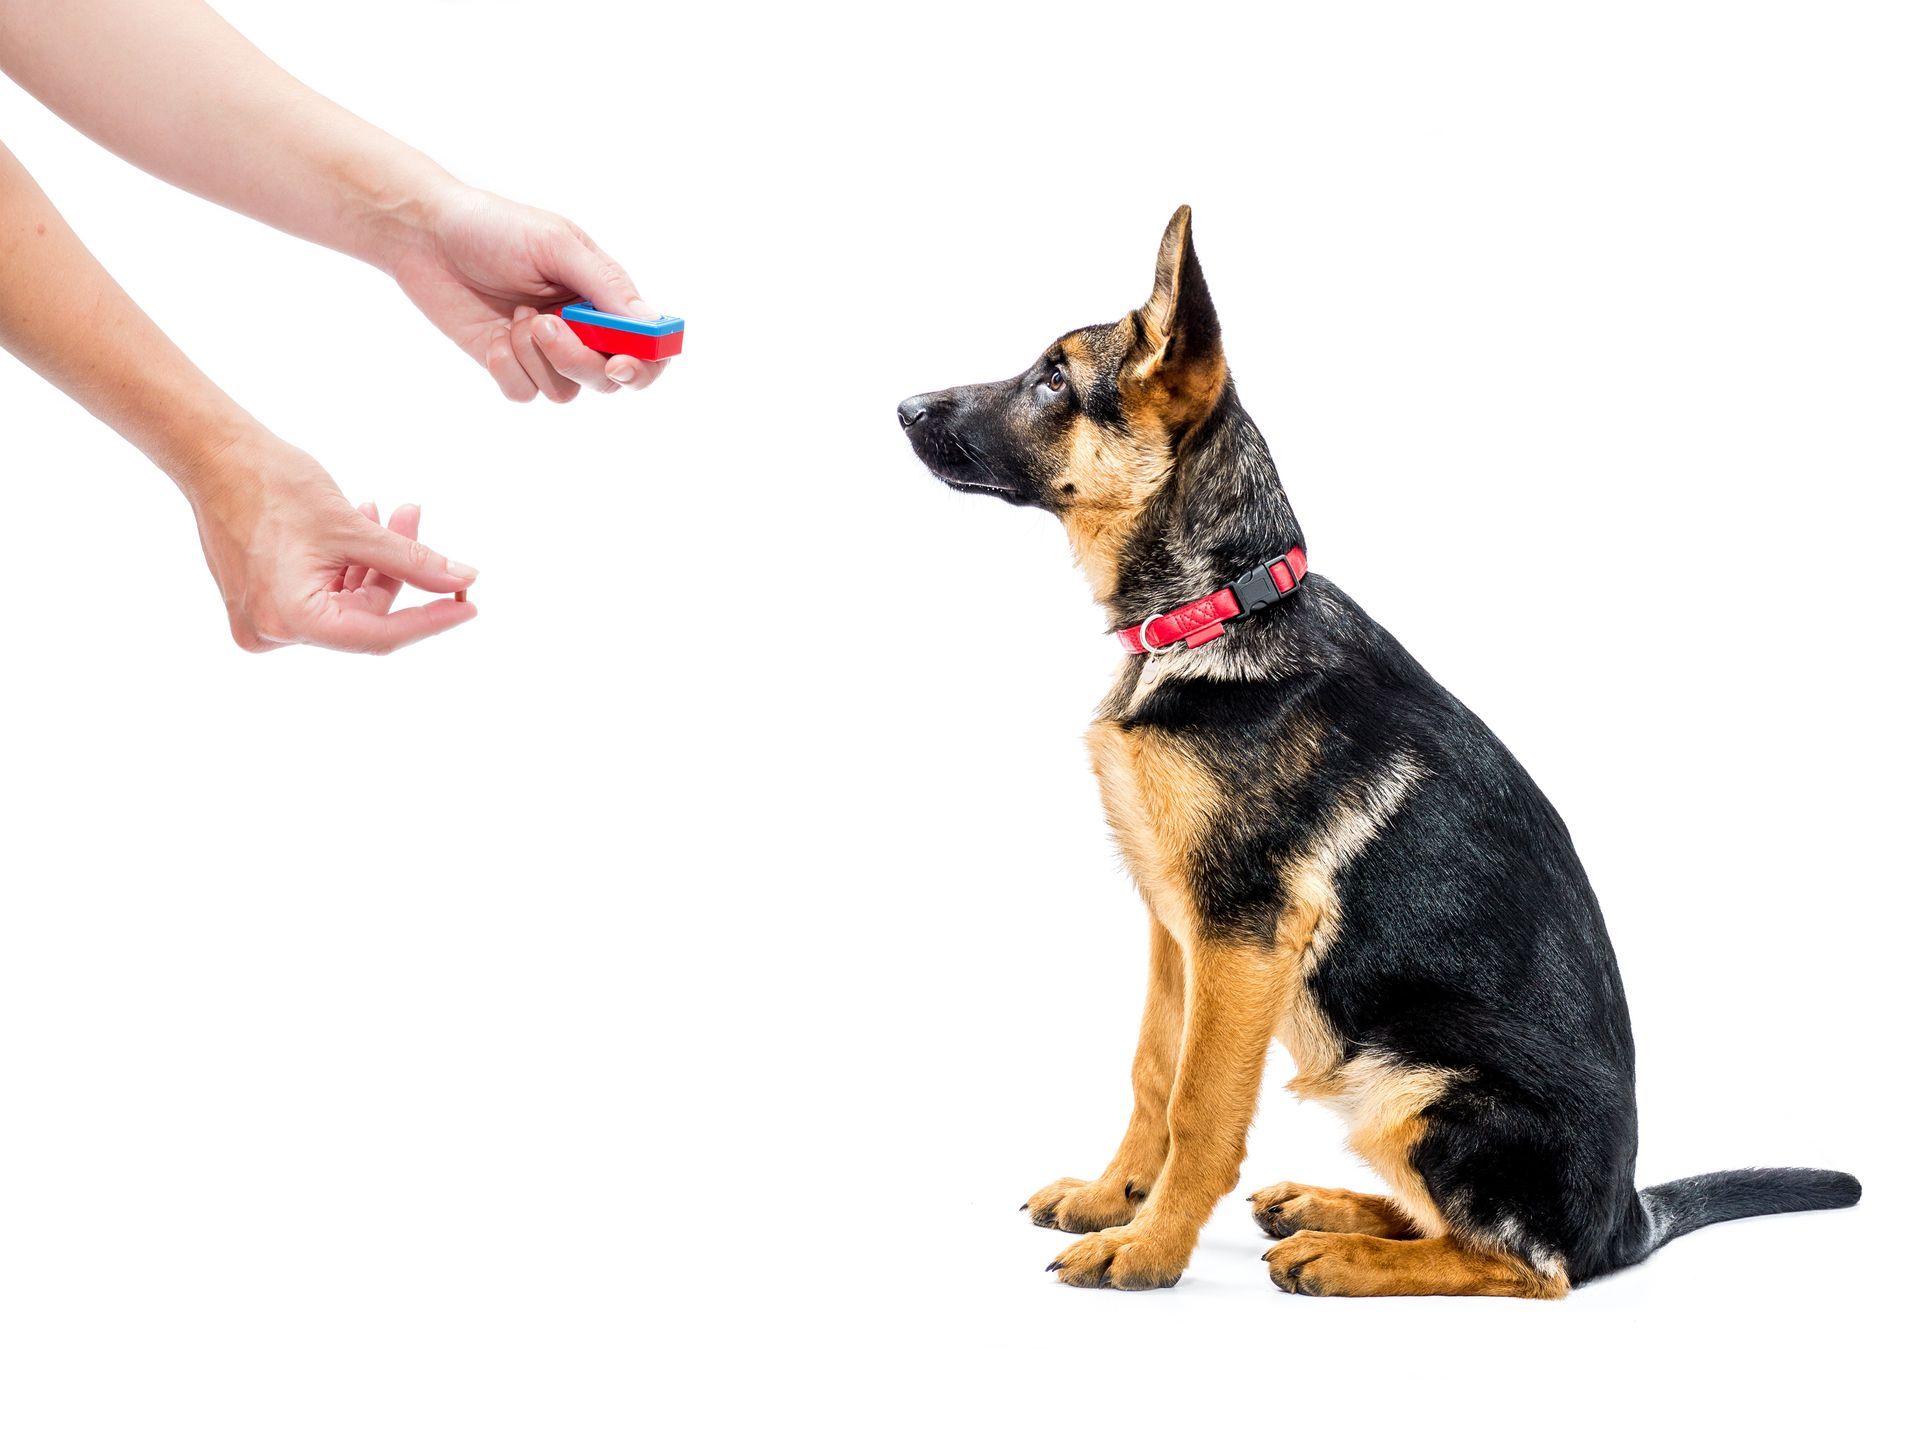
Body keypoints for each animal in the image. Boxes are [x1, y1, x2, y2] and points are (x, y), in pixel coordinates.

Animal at [894, 208, 1858, 1305]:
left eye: (1056, 379)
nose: (902, 408)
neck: (1221, 607)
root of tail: (1627, 1219)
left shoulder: (1239, 935)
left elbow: (1200, 1108)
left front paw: (1149, 1252)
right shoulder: (1176, 929)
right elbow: (1151, 1072)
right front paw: (1115, 1199)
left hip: (1414, 1085)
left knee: (1526, 1265)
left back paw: (1345, 1254)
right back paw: (1327, 1208)